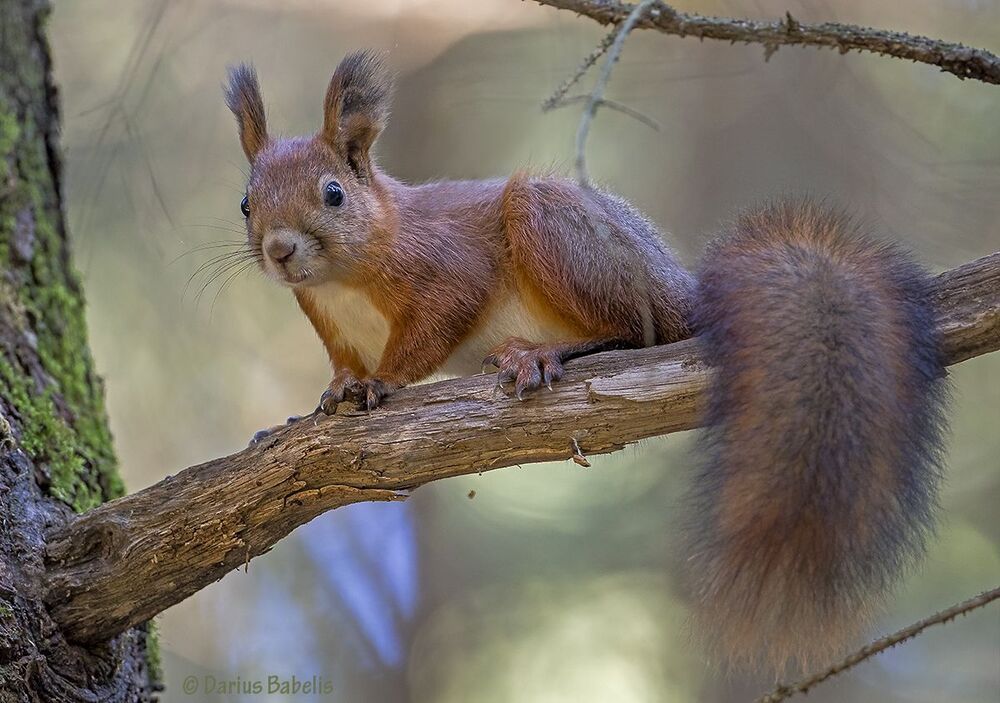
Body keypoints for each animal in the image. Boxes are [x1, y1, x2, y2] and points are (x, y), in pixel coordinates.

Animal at [224, 50, 948, 670]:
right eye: (246, 202)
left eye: (333, 194)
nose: (280, 250)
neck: (342, 281)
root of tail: (678, 289)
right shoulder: (333, 329)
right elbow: (339, 368)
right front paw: (322, 402)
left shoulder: (444, 266)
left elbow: (430, 329)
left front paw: (380, 381)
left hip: (554, 225)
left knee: (633, 333)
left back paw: (541, 352)